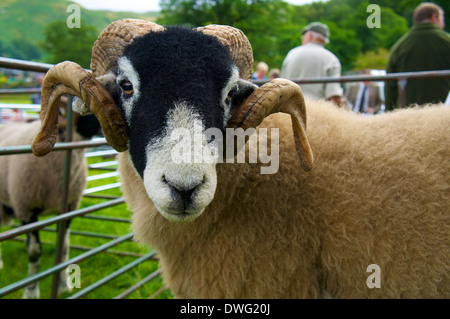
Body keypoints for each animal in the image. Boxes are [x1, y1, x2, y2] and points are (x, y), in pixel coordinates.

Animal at [0, 109, 100, 298]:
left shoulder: (68, 209)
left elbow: (64, 247)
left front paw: (63, 286)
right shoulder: (26, 209)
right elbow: (34, 251)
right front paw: (31, 292)